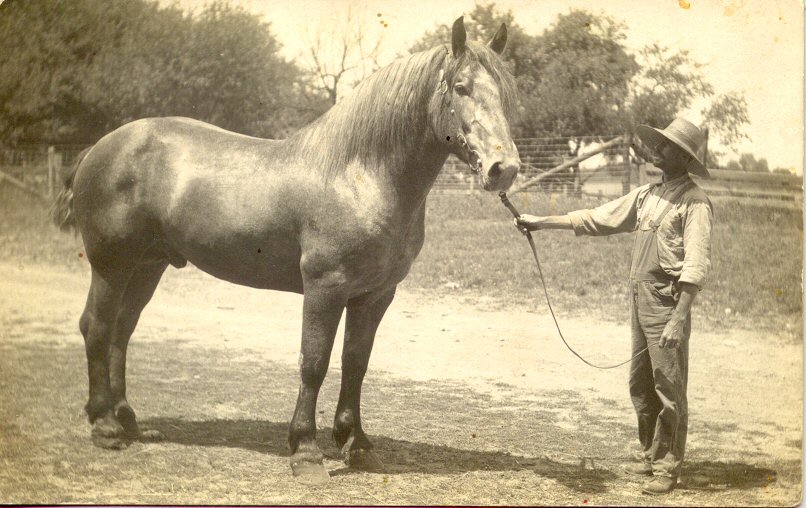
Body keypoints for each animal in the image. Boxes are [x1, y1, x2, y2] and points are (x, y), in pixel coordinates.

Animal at [55, 16, 524, 484]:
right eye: (461, 87)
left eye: (505, 90)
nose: (504, 169)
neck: (358, 175)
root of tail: (99, 148)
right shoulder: (325, 287)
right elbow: (313, 362)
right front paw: (306, 451)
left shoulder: (375, 295)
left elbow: (356, 363)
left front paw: (357, 445)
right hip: (111, 266)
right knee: (96, 328)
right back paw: (105, 426)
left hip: (147, 266)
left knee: (122, 331)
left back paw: (127, 419)